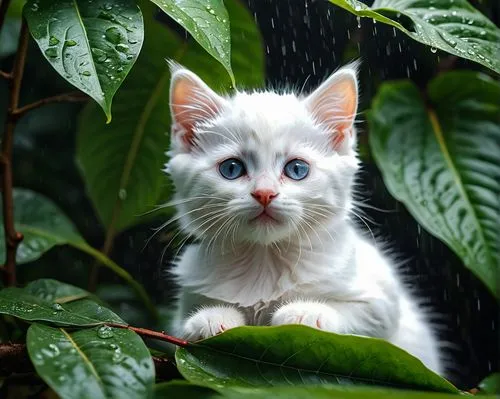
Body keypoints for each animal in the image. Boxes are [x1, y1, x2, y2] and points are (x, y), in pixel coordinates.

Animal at [166, 61, 444, 376]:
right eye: (232, 169)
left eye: (297, 169)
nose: (264, 193)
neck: (265, 263)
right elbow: (182, 327)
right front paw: (210, 318)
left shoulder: (382, 305)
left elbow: (360, 318)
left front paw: (305, 312)